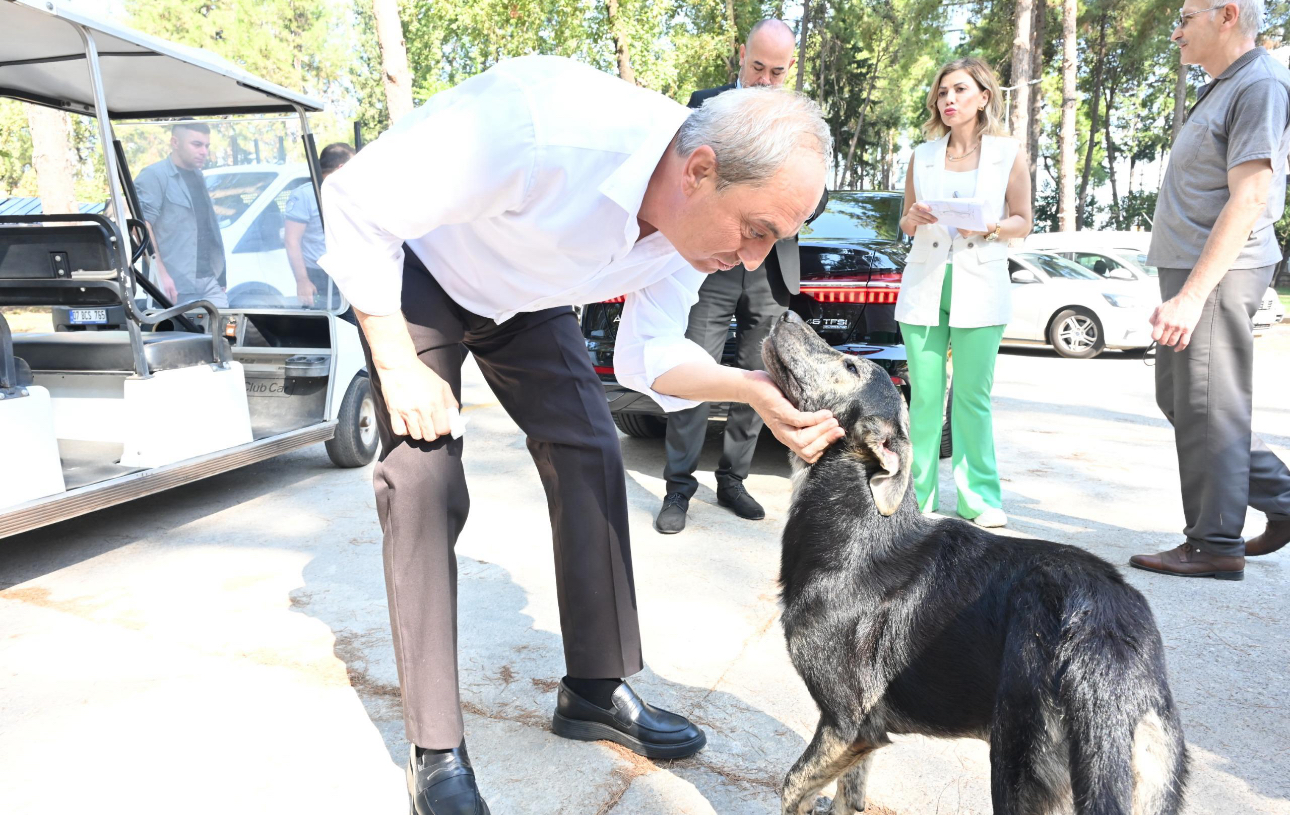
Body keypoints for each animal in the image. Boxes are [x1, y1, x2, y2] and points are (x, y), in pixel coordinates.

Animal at [758, 313, 1181, 815]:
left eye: (849, 366)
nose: (786, 313)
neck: (858, 527)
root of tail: (1104, 636)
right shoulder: (863, 743)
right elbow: (849, 799)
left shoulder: (847, 725)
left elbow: (792, 787)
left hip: (1017, 764)